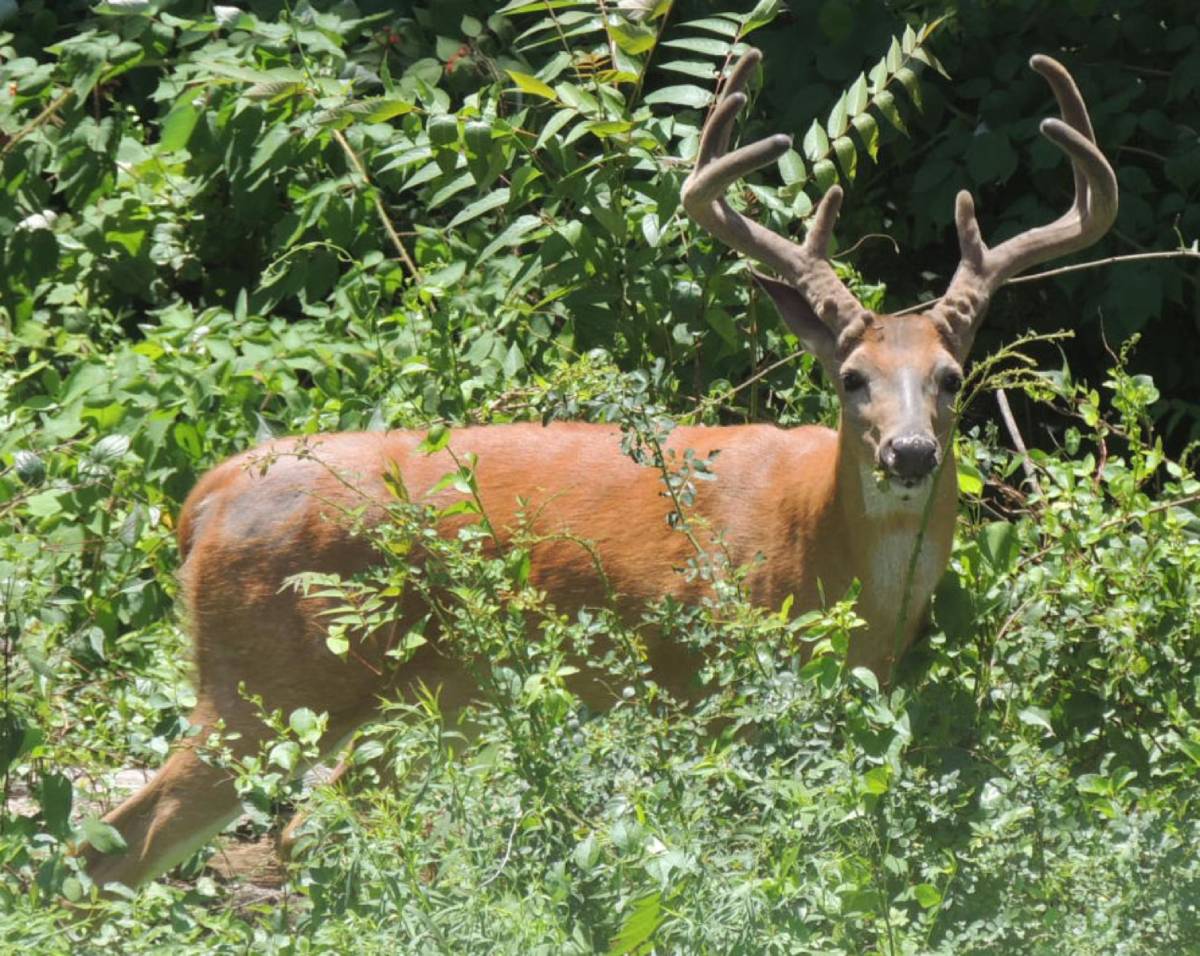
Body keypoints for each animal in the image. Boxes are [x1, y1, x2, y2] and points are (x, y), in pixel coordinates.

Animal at [81, 49, 1116, 890]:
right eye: (853, 377)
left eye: (950, 377)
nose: (909, 452)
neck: (821, 552)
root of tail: (203, 497)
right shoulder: (713, 692)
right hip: (265, 679)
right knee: (129, 839)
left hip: (400, 702)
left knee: (283, 829)